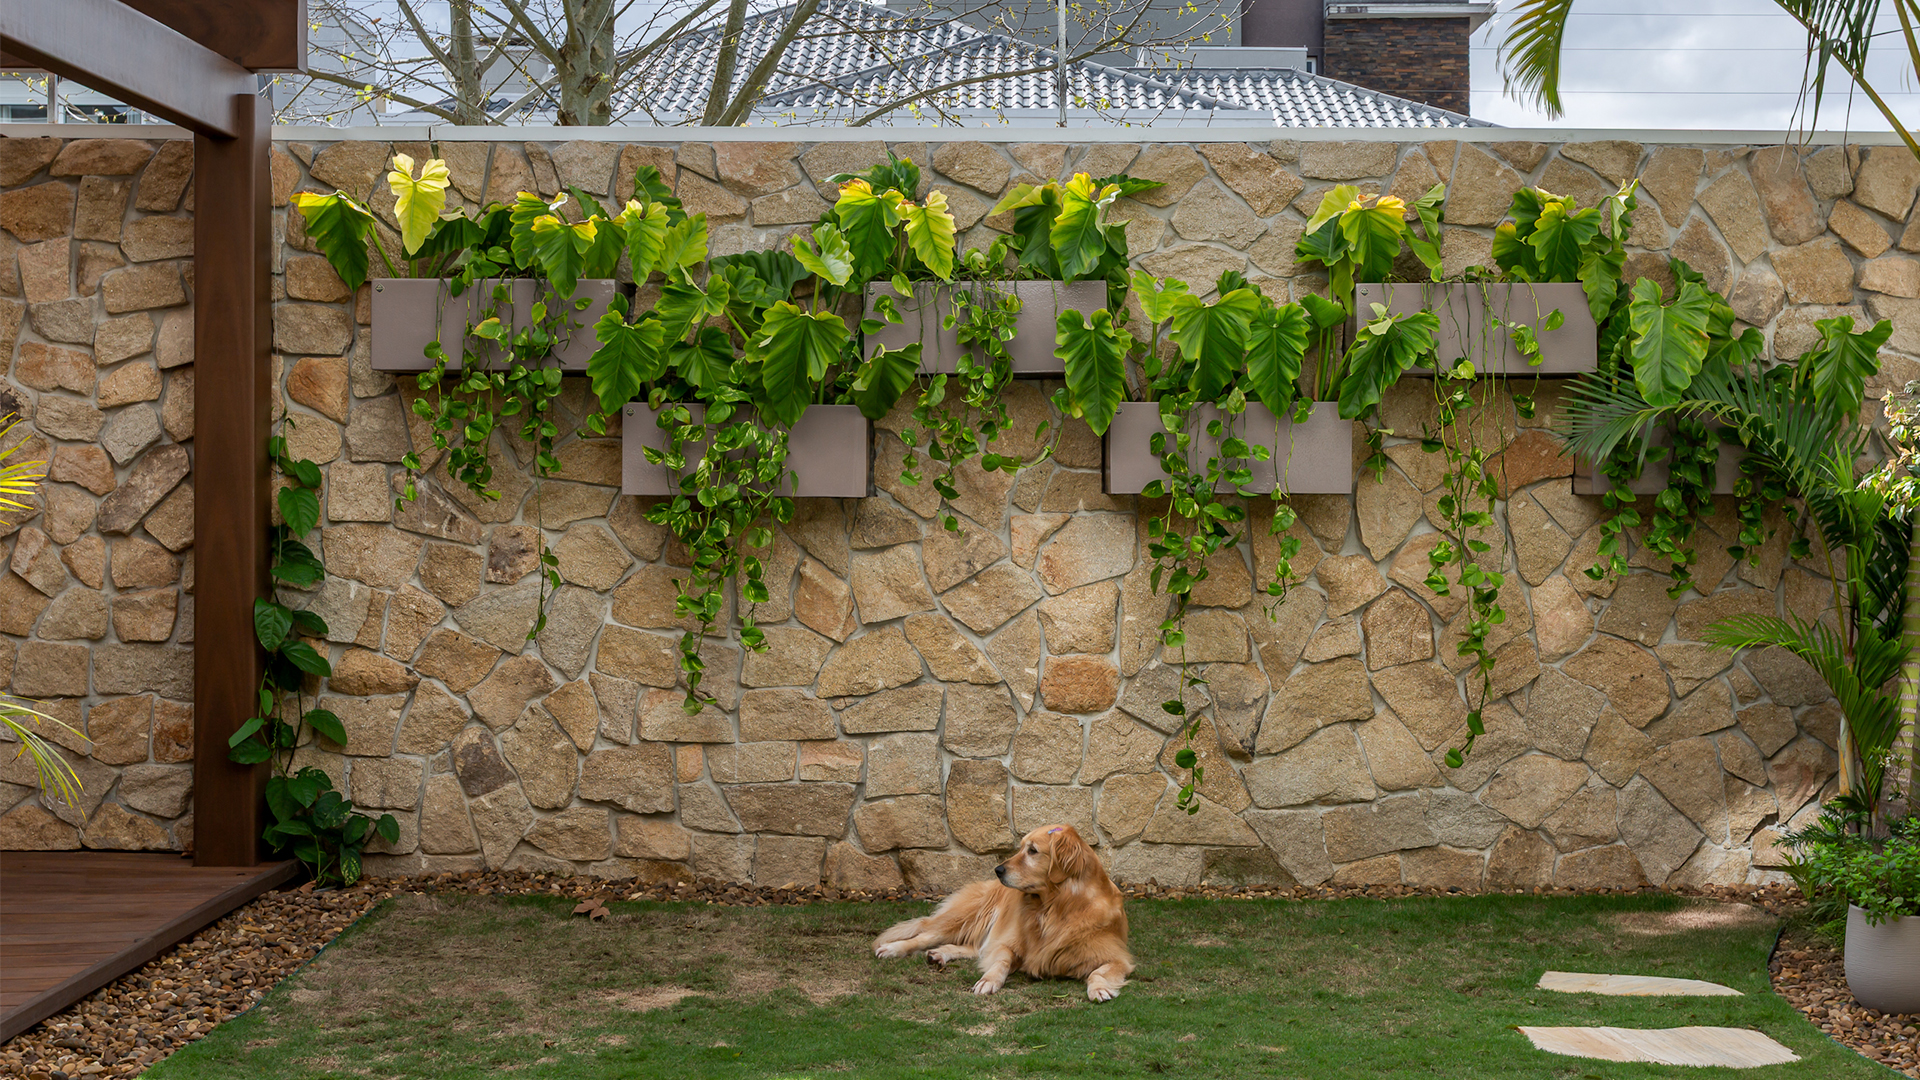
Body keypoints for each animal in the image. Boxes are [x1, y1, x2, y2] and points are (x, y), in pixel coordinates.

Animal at [871, 824, 1133, 1002]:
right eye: (1021, 848)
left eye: (1032, 851)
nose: (997, 870)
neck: (1056, 907)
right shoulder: (1009, 942)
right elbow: (1001, 961)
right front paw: (988, 981)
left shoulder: (1117, 957)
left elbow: (1097, 973)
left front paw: (1099, 987)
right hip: (966, 919)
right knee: (924, 935)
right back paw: (892, 949)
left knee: (972, 948)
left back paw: (939, 955)